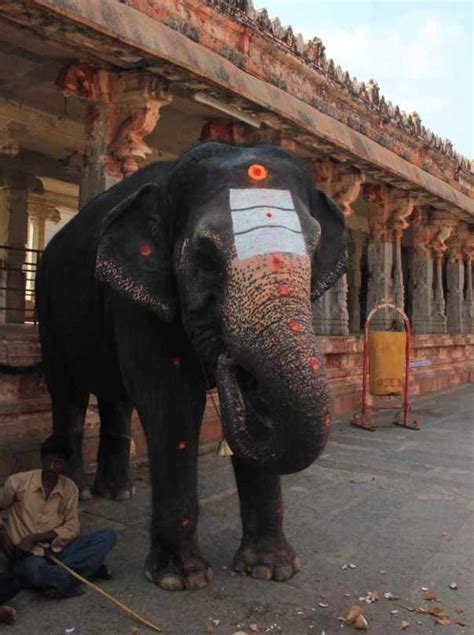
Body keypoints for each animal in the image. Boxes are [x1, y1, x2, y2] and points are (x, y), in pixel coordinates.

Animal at [35, 143, 348, 592]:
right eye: (204, 254)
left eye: (316, 246)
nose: (228, 364)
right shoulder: (138, 297)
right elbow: (172, 402)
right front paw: (180, 579)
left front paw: (271, 570)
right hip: (49, 309)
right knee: (69, 395)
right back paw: (78, 492)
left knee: (116, 400)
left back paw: (117, 493)